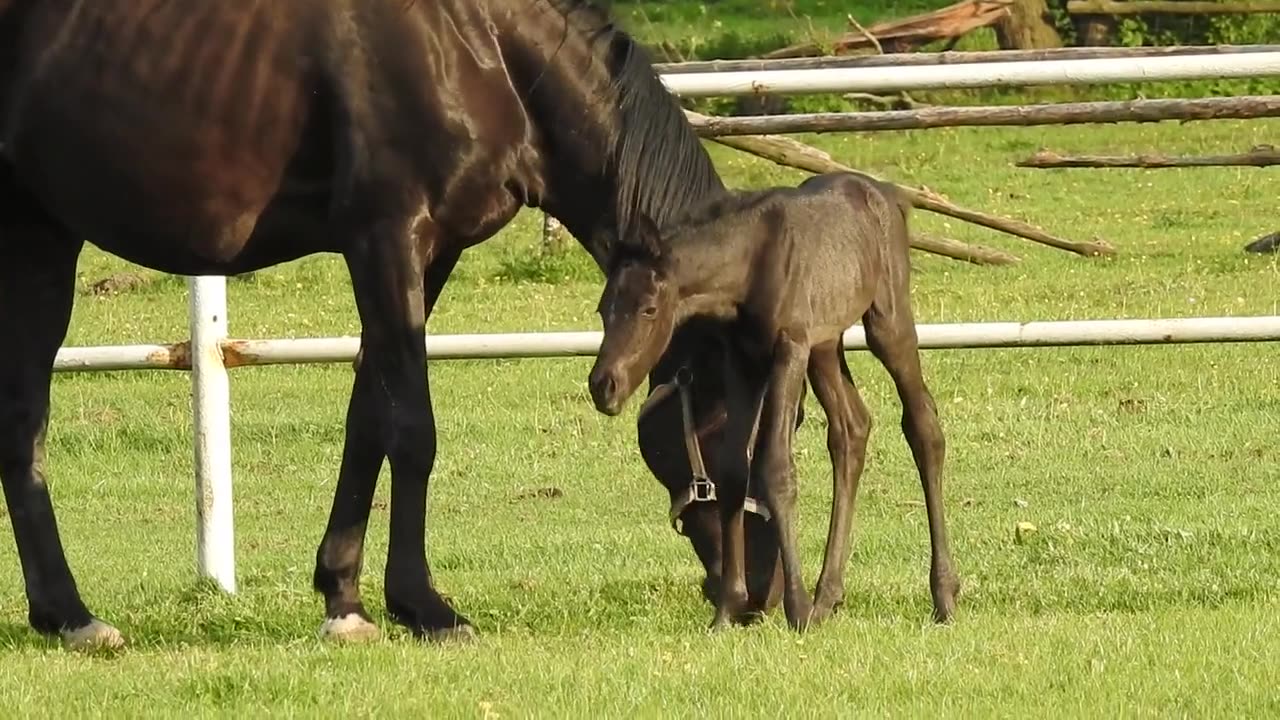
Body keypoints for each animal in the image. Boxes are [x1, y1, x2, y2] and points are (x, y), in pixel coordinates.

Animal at [586, 169, 957, 627]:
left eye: (650, 309)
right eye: (603, 309)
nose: (604, 385)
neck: (751, 264)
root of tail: (886, 193)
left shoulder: (789, 347)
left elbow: (777, 468)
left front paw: (795, 608)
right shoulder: (743, 359)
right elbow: (732, 469)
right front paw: (728, 609)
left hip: (886, 322)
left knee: (922, 425)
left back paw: (943, 595)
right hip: (826, 344)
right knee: (851, 429)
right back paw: (827, 598)